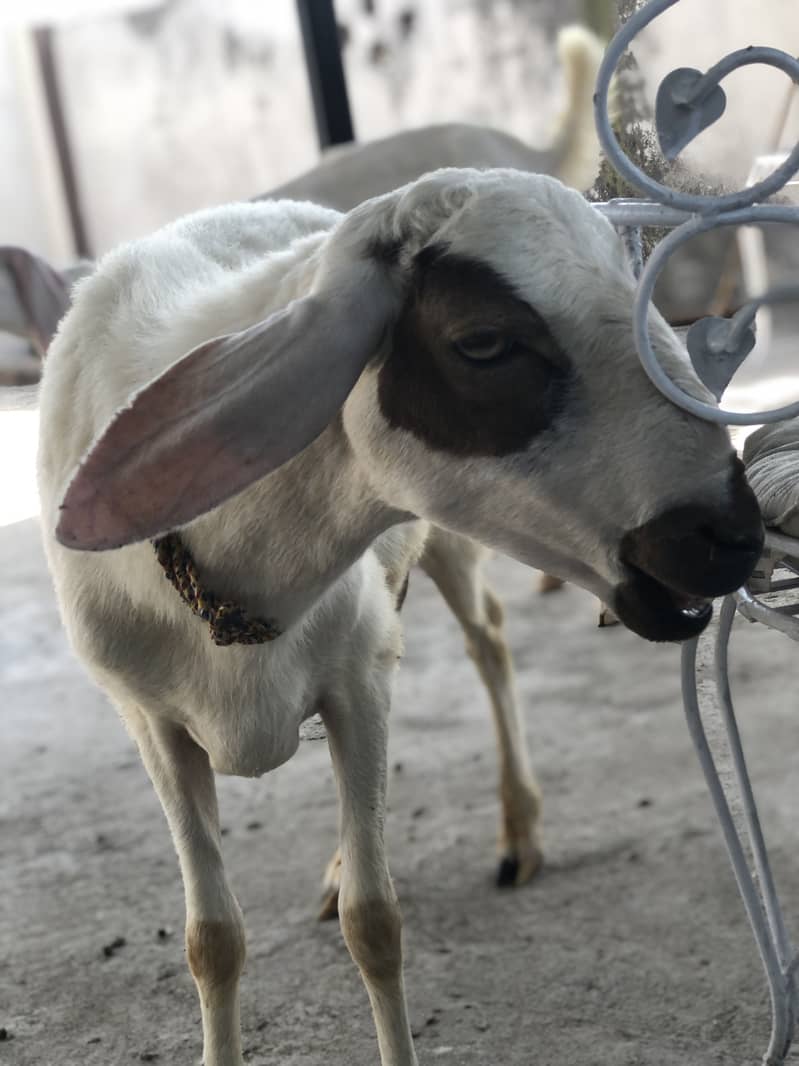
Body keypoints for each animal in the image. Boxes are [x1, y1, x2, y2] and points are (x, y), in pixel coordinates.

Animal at [35, 168, 764, 1065]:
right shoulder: (152, 724)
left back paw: (516, 833)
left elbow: (375, 926)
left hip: (437, 550)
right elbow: (212, 940)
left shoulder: (357, 679)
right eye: (481, 342)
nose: (732, 538)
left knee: (488, 639)